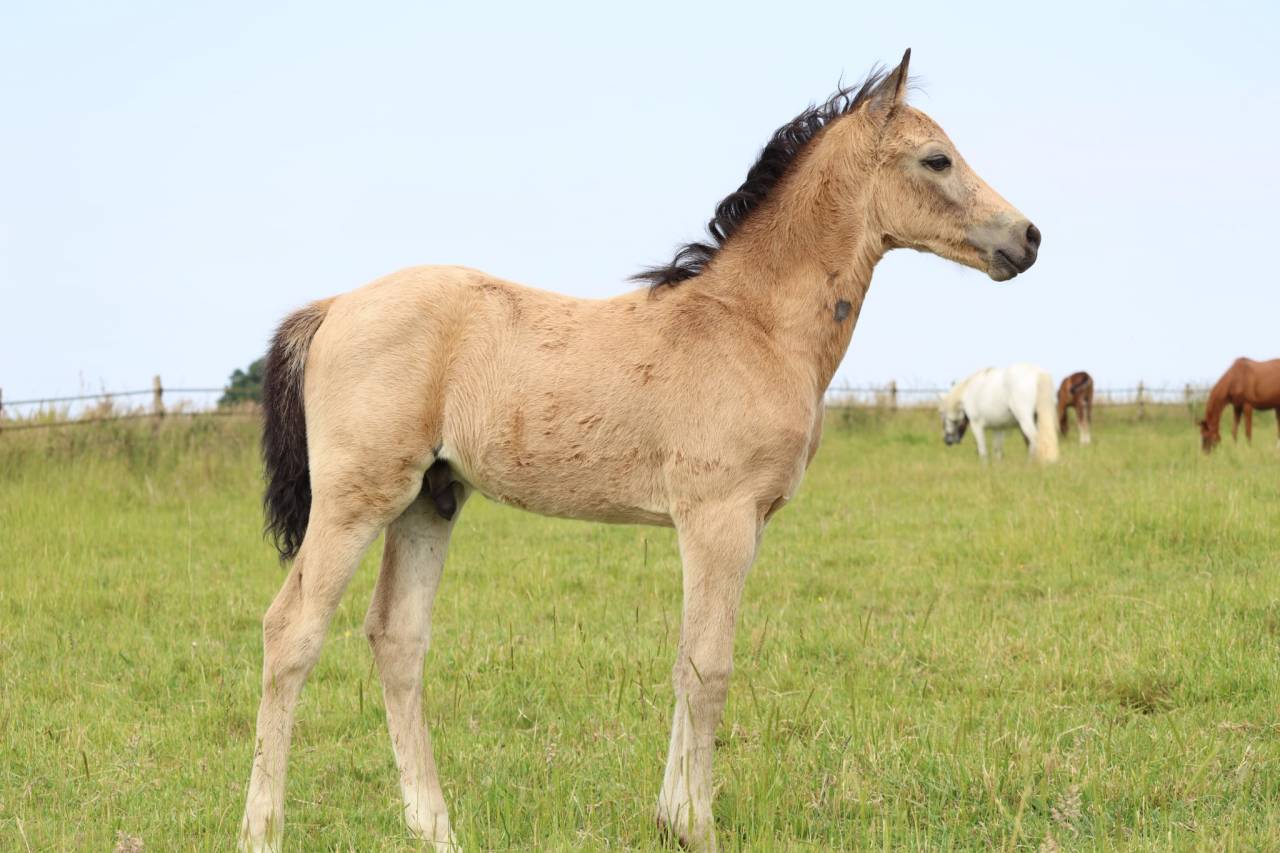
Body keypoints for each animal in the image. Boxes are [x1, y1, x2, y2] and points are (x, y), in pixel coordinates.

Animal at [239, 50, 1042, 853]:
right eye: (936, 159)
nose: (1028, 237)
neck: (753, 326)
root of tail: (334, 306)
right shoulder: (718, 519)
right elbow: (708, 666)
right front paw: (696, 824)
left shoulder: (733, 523)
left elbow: (689, 661)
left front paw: (671, 816)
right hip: (357, 498)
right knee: (291, 631)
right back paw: (262, 828)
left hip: (428, 501)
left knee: (397, 637)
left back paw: (435, 826)